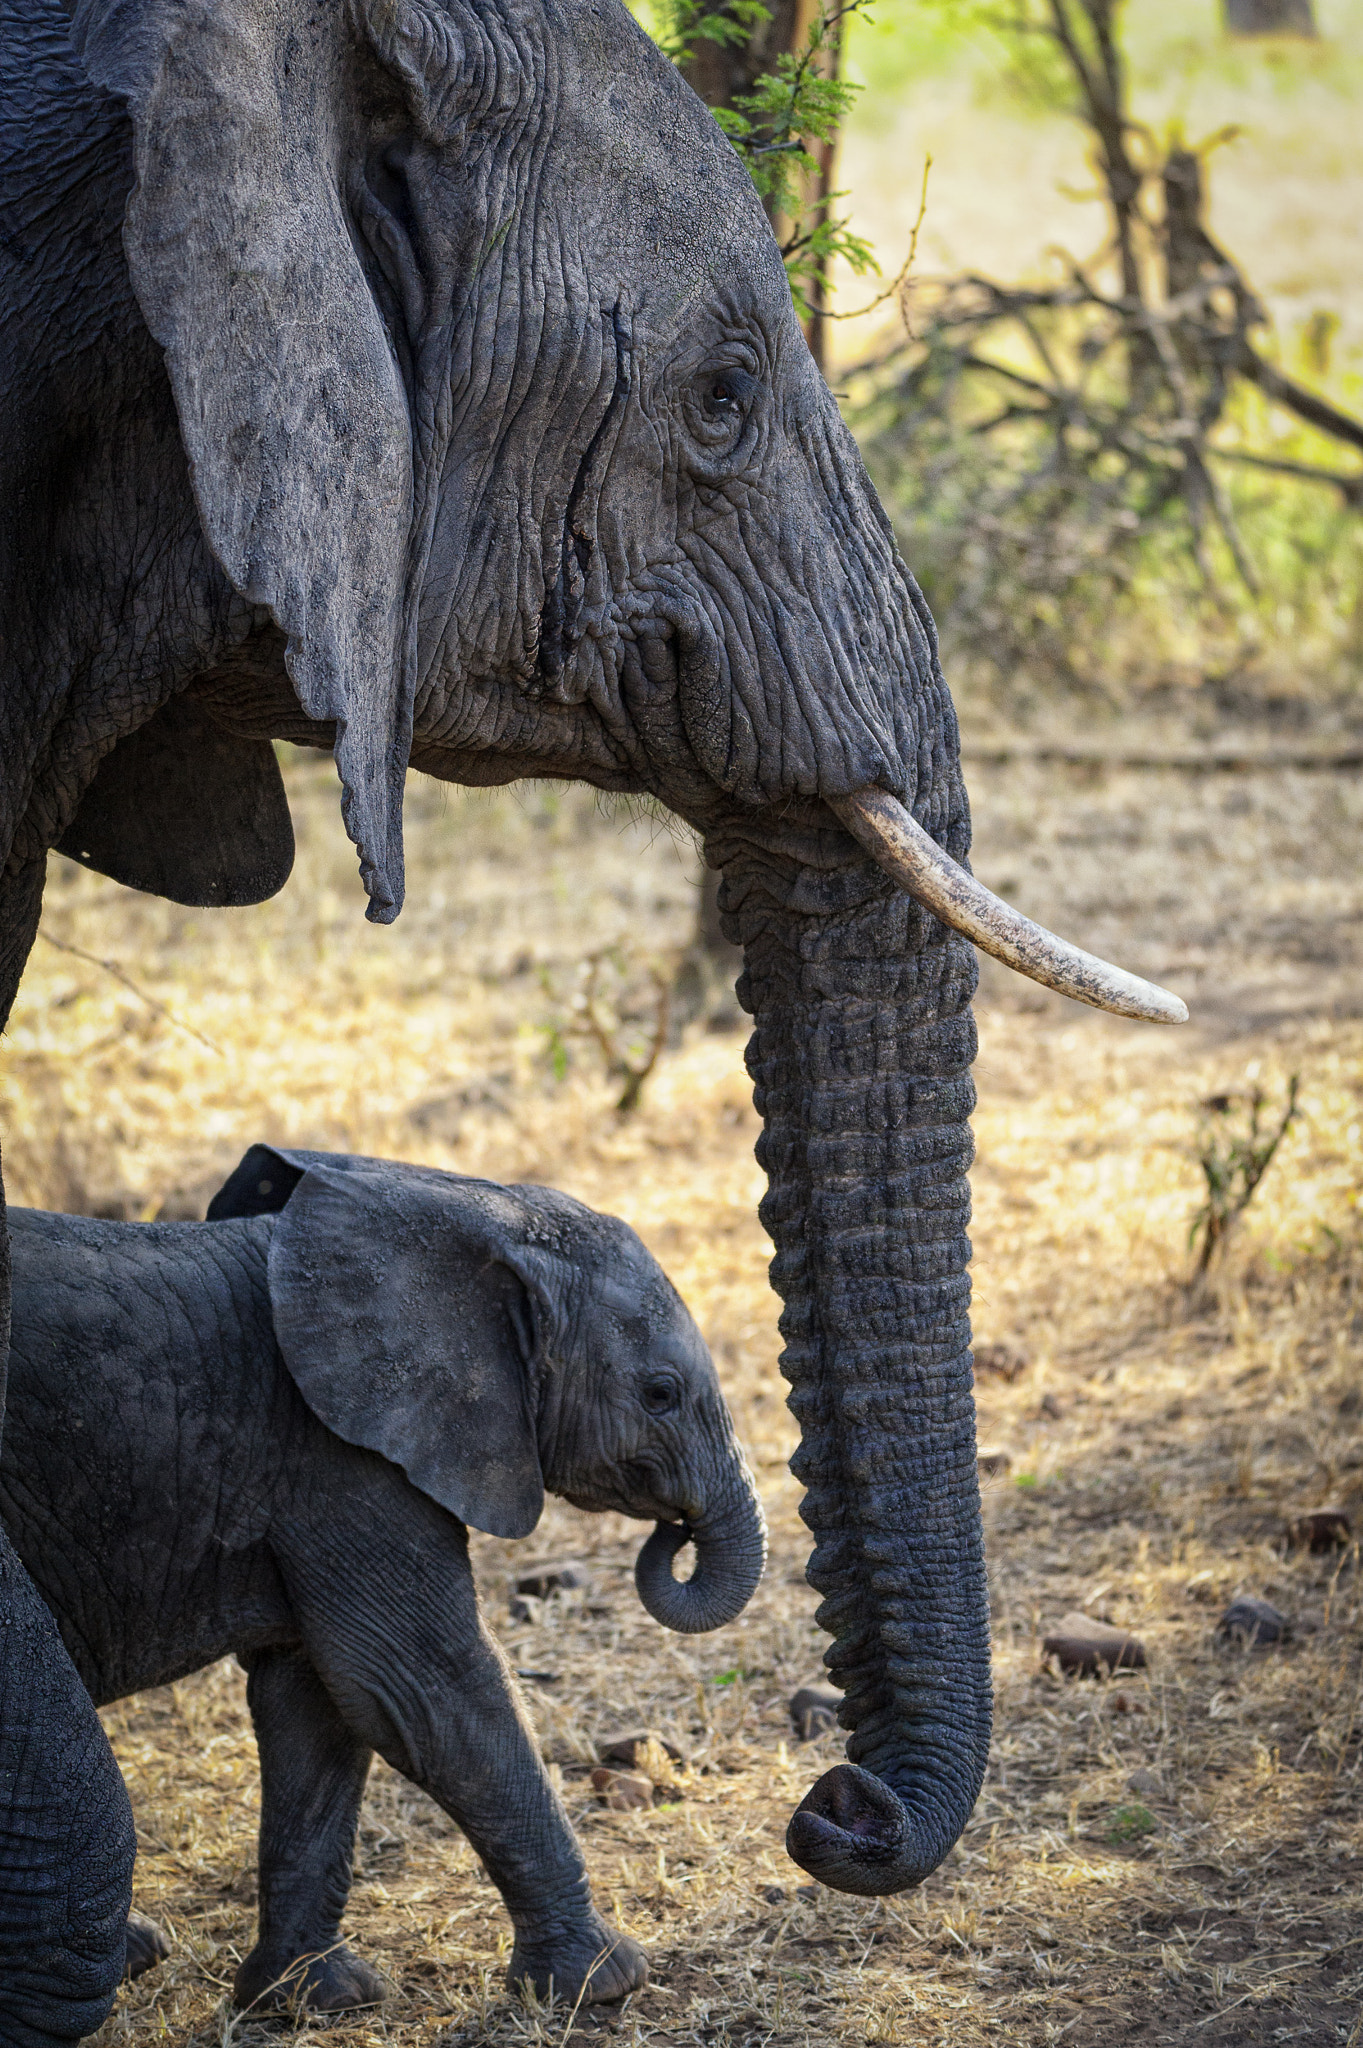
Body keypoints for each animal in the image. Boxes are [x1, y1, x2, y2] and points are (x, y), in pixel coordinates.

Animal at [2, 1144, 766, 2010]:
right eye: (660, 1394)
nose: (674, 1530)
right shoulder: (336, 1455)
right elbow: (419, 1686)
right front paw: (604, 1984)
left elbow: (320, 1703)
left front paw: (312, 1998)